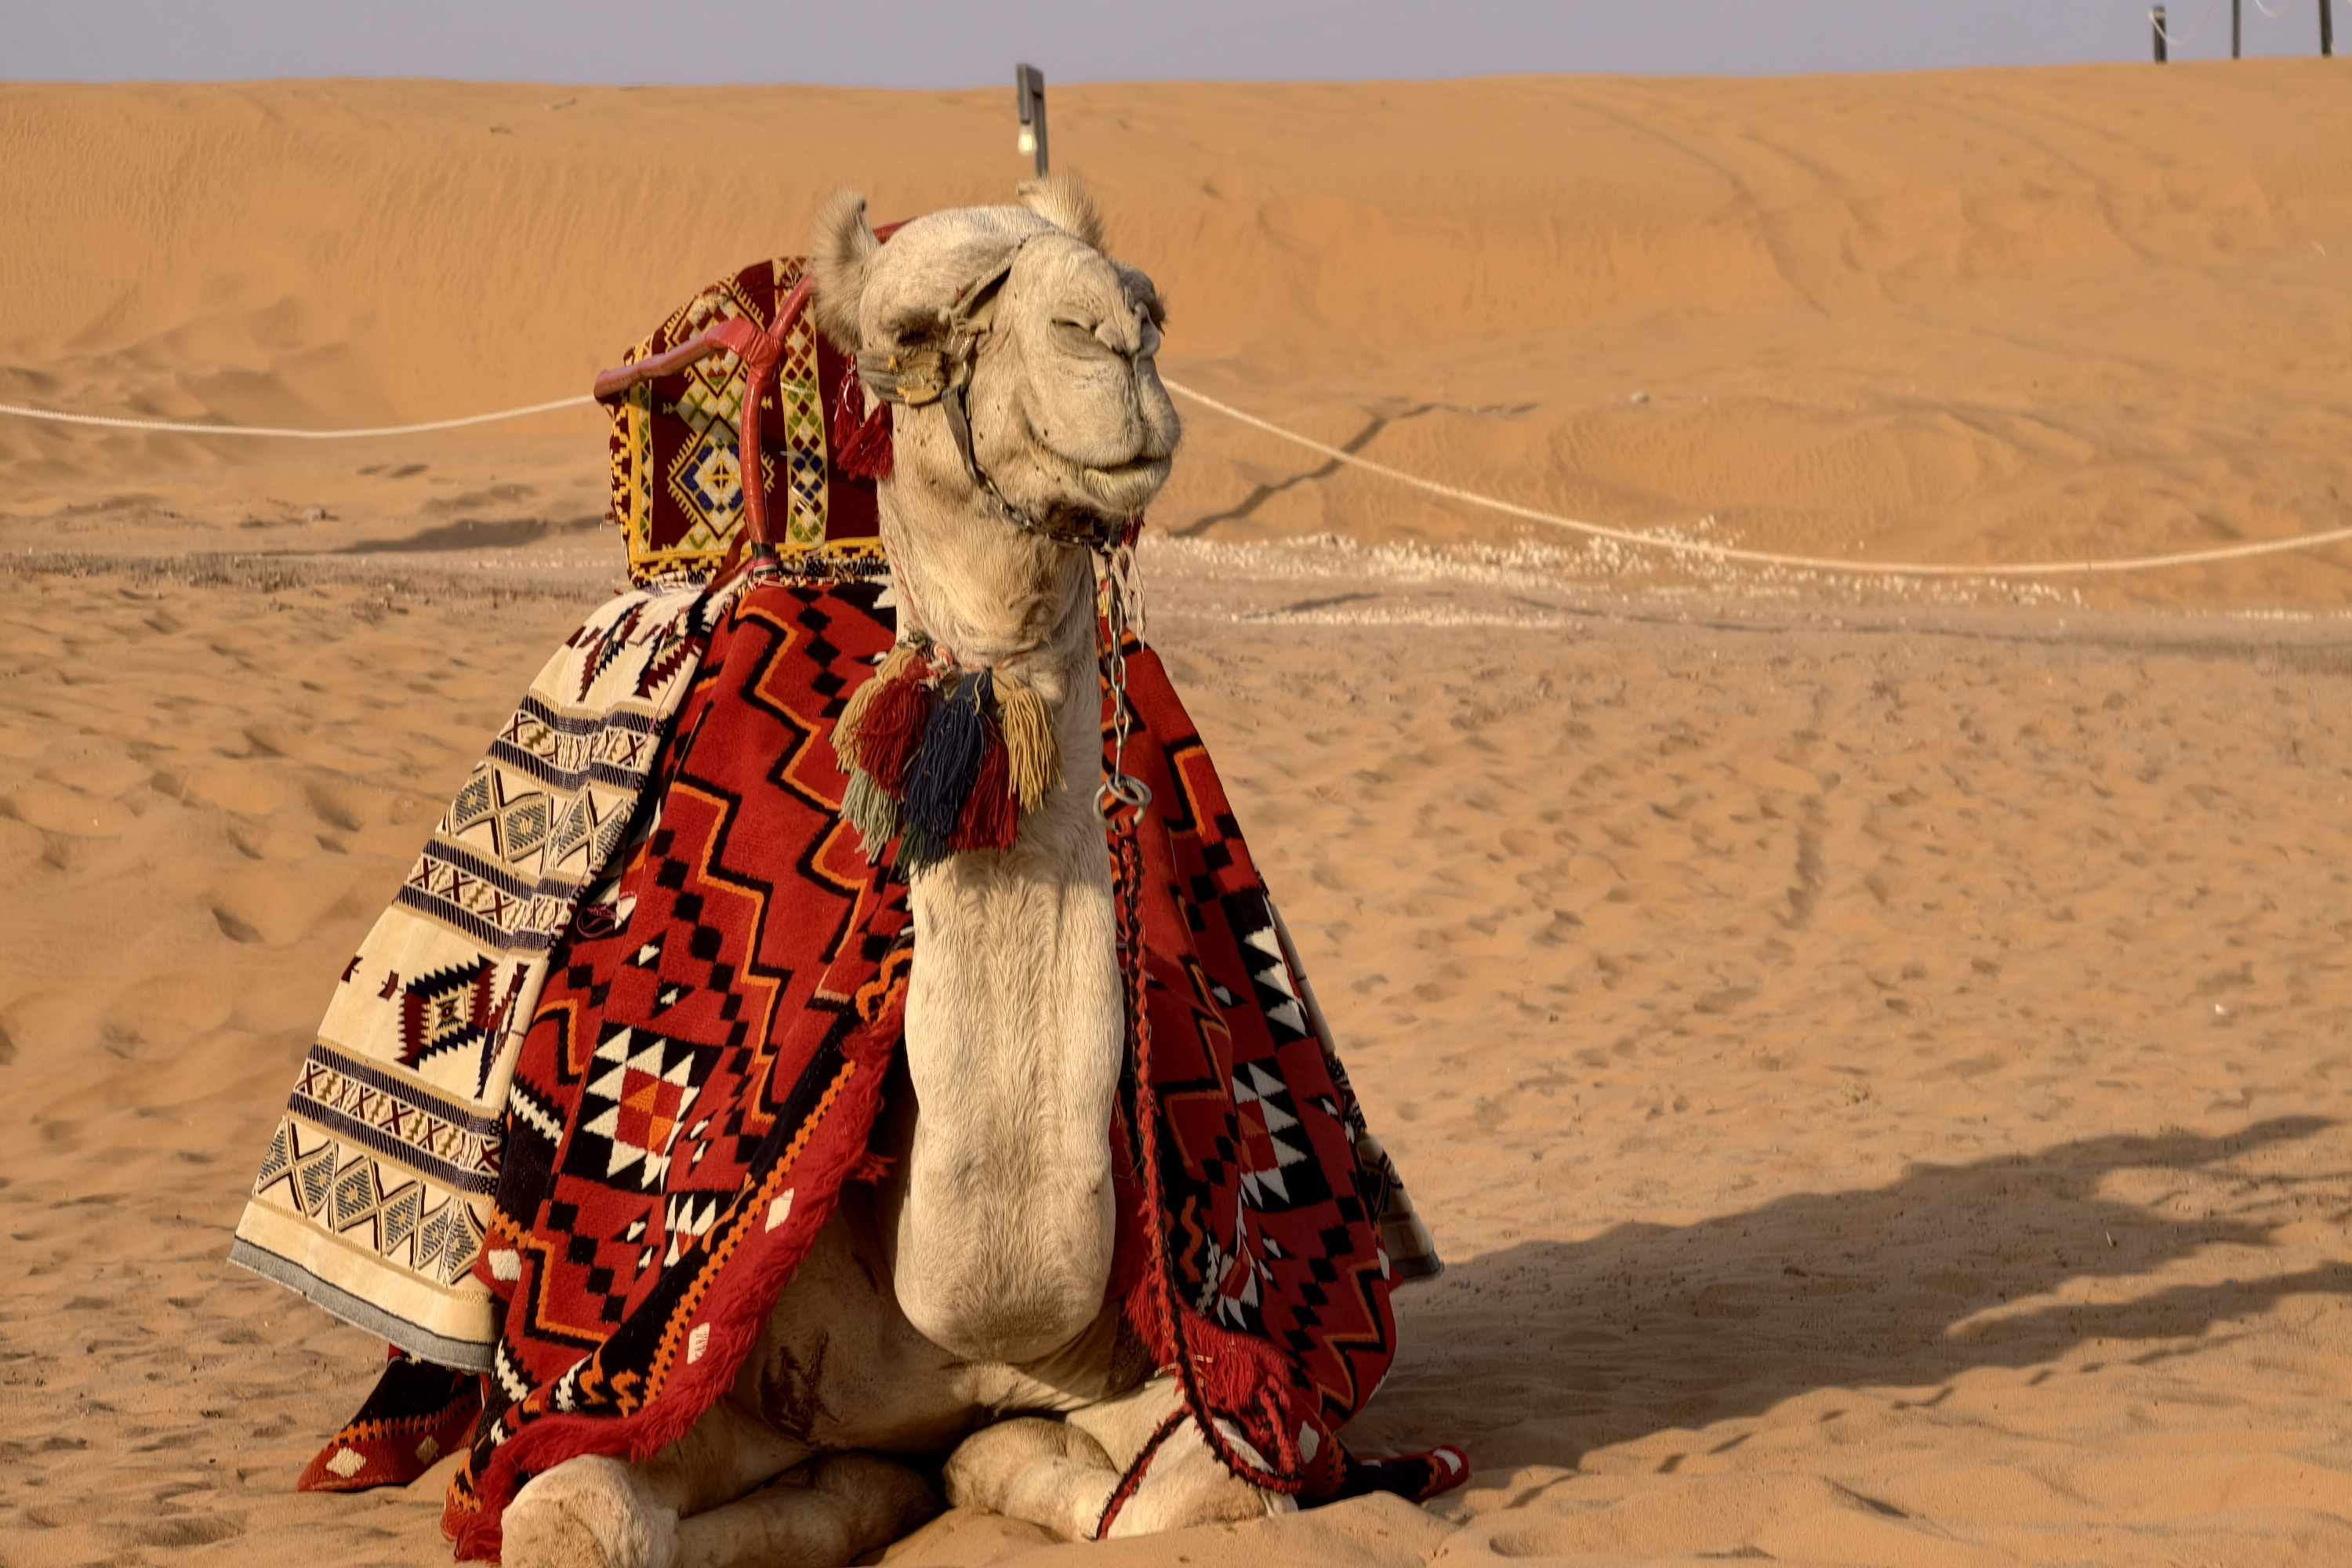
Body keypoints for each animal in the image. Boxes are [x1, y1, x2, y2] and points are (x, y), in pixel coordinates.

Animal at [497, 179, 1295, 1568]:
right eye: (914, 333)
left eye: (1149, 297)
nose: (1115, 338)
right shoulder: (641, 1368)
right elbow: (584, 1517)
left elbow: (1202, 1489)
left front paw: (993, 1456)